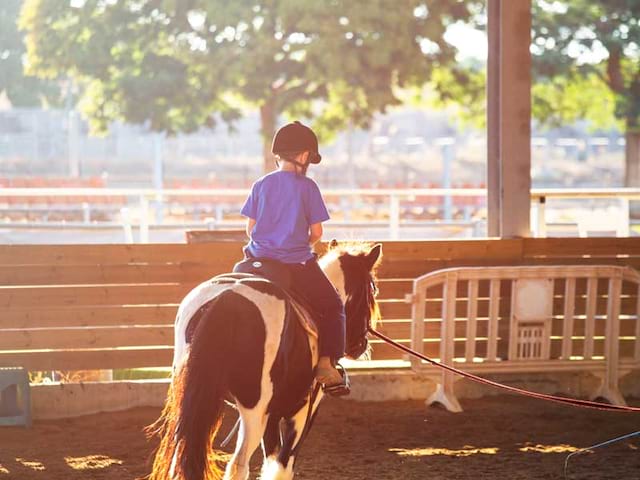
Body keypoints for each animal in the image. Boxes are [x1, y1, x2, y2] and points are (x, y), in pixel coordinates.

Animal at [148, 244, 382, 480]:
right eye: (372, 289)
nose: (360, 345)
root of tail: (228, 298)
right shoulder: (302, 410)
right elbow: (283, 465)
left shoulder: (272, 414)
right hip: (254, 410)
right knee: (238, 464)